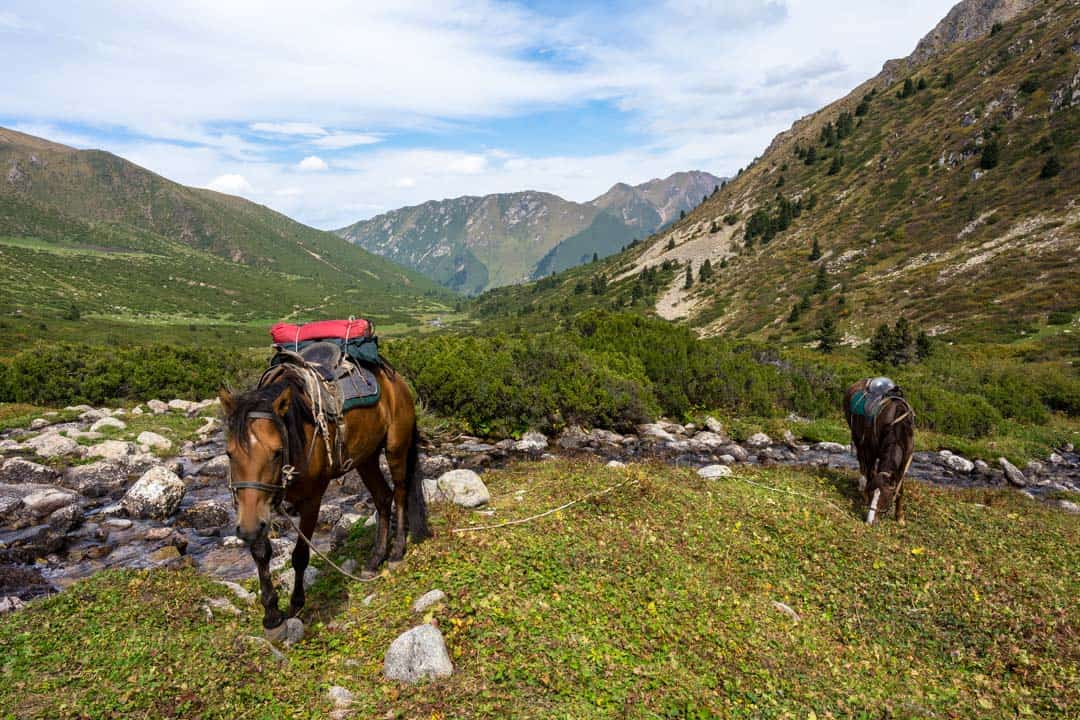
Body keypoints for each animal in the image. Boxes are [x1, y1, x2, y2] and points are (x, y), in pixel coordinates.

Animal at [218, 359, 429, 630]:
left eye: (276, 452)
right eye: (229, 453)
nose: (248, 529)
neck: (298, 431)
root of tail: (396, 380)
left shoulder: (311, 502)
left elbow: (300, 555)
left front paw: (296, 604)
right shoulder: (255, 507)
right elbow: (261, 553)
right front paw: (272, 613)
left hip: (396, 449)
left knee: (401, 492)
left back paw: (395, 553)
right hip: (366, 458)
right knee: (383, 498)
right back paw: (375, 559)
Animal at [843, 378, 915, 524]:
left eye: (886, 497)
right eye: (872, 493)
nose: (869, 521)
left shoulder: (905, 460)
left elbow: (900, 487)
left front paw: (899, 517)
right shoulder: (872, 450)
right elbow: (871, 473)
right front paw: (865, 496)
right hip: (858, 438)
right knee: (862, 461)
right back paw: (861, 485)